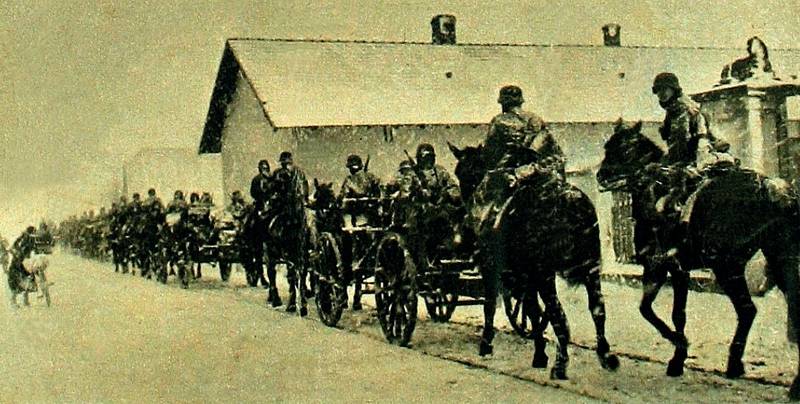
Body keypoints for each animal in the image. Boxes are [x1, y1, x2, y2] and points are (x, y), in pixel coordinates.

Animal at [450, 143, 620, 382]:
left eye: (461, 171)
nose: (465, 211)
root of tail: (571, 201)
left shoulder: (494, 269)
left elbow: (492, 306)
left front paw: (487, 345)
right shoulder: (526, 278)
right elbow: (533, 311)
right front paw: (539, 351)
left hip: (545, 274)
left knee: (559, 315)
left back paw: (561, 364)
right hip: (590, 270)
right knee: (597, 309)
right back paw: (605, 356)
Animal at [596, 119, 800, 398]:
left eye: (625, 148)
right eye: (607, 145)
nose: (601, 175)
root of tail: (771, 187)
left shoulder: (665, 266)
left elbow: (664, 312)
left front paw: (678, 351)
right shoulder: (667, 269)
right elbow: (660, 311)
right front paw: (678, 353)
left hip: (727, 267)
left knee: (748, 309)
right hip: (776, 260)